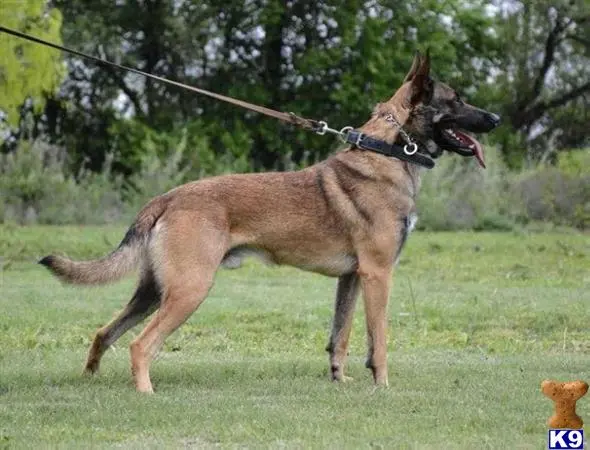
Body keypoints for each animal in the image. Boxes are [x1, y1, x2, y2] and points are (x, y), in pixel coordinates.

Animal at [40, 51, 500, 392]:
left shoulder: (351, 279)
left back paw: (90, 381)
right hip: (190, 290)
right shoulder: (378, 275)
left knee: (104, 332)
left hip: (153, 292)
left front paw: (340, 380)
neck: (387, 150)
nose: (495, 119)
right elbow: (380, 340)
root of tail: (167, 197)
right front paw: (382, 386)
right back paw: (145, 392)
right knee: (140, 345)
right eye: (457, 100)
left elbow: (341, 336)